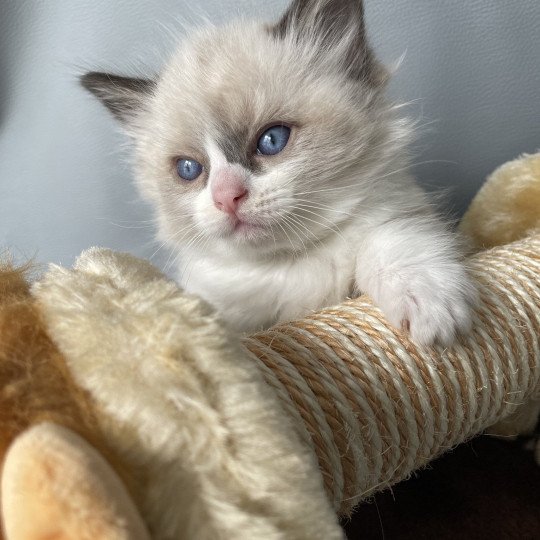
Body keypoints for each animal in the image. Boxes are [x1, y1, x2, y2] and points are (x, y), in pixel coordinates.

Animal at [81, 0, 476, 344]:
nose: (227, 197)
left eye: (272, 140)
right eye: (189, 169)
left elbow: (390, 243)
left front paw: (432, 319)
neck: (289, 265)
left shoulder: (397, 213)